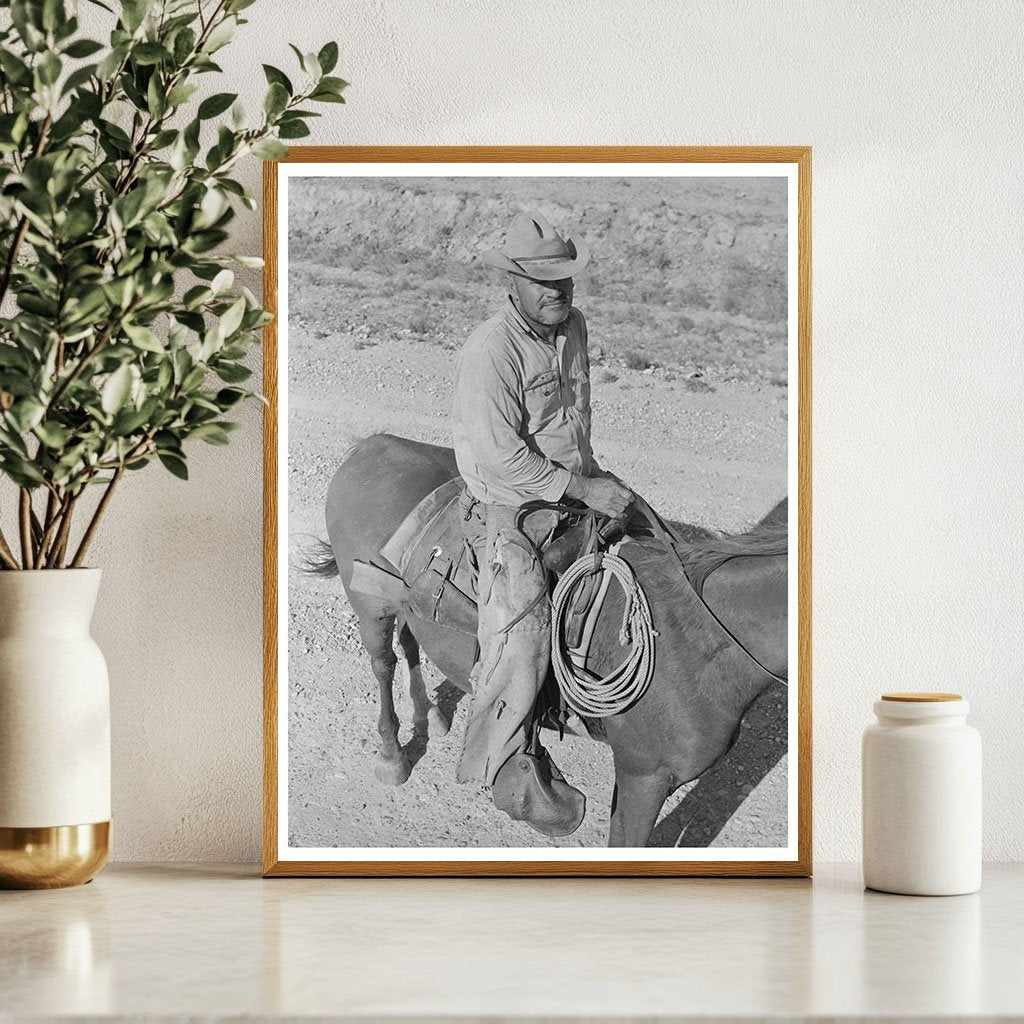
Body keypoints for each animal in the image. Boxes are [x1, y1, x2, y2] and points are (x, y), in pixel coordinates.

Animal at [307, 432, 786, 847]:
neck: (694, 640)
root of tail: (371, 444)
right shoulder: (644, 776)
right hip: (369, 606)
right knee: (383, 664)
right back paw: (392, 757)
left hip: (403, 607)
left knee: (409, 643)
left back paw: (431, 715)